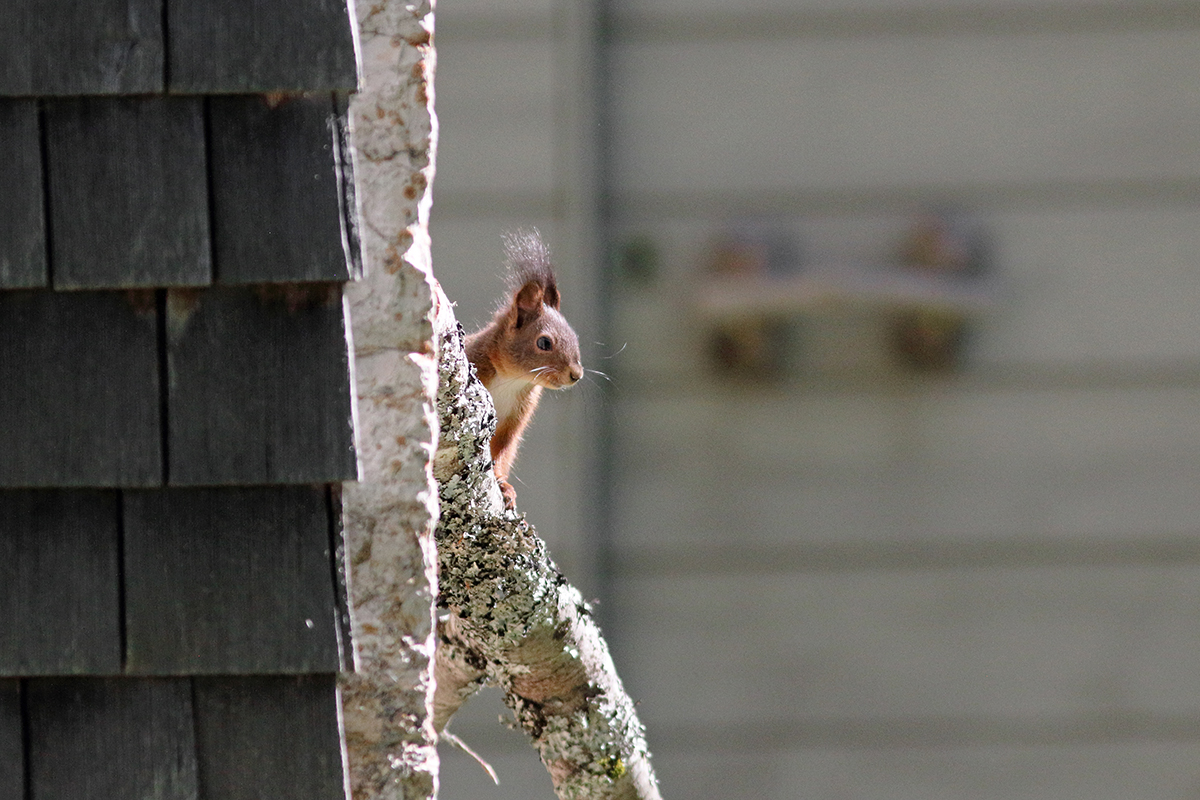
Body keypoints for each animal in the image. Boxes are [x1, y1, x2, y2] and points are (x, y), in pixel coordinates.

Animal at [463, 230, 585, 506]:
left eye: (575, 337)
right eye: (544, 343)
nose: (576, 375)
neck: (512, 379)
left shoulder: (516, 418)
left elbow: (502, 449)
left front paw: (503, 484)